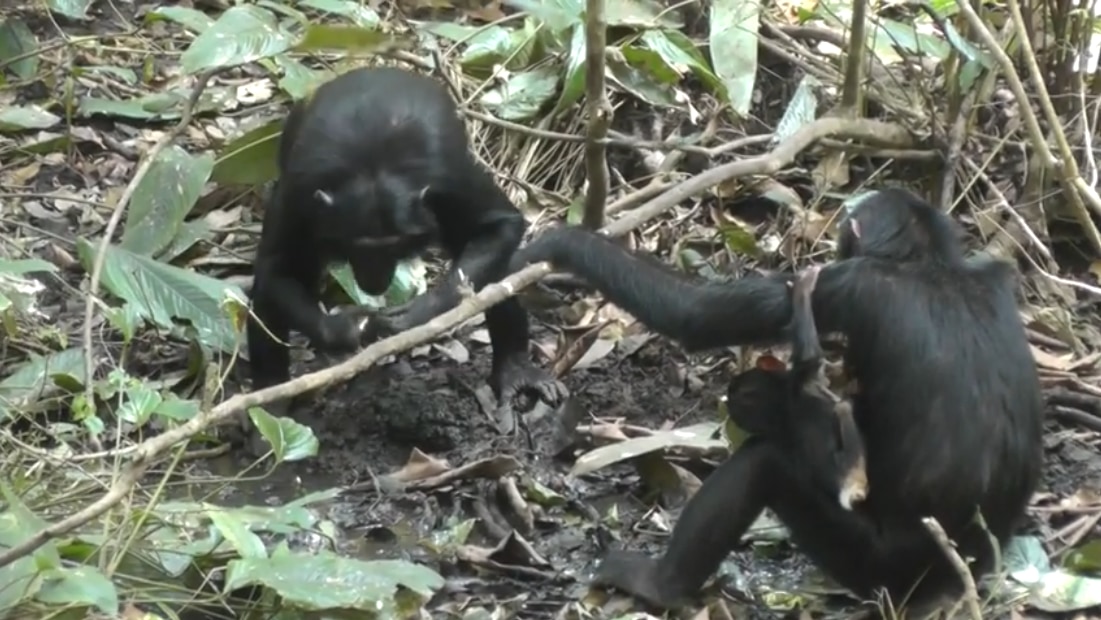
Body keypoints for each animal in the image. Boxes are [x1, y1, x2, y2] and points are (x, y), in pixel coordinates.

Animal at [251, 65, 568, 436]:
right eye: (359, 247)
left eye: (393, 245)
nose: (373, 276)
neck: (370, 167)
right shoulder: (298, 191)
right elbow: (276, 268)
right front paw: (345, 329)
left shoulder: (451, 179)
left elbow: (499, 226)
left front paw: (418, 314)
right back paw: (269, 409)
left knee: (495, 269)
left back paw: (516, 371)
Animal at [731, 266, 867, 515]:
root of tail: (849, 493)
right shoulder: (805, 378)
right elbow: (811, 352)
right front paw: (803, 290)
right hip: (855, 471)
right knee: (844, 408)